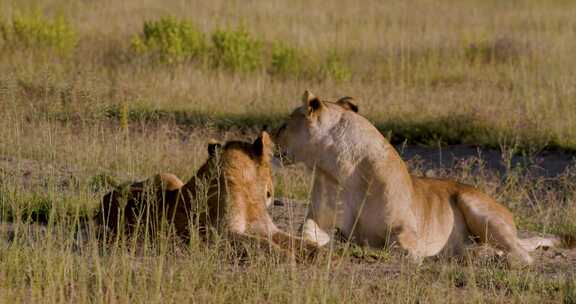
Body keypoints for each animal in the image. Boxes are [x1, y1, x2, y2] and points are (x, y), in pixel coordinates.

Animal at [97, 133, 318, 256]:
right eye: (271, 170)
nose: (273, 190)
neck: (249, 194)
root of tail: (105, 199)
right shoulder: (218, 234)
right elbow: (263, 244)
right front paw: (288, 257)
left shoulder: (269, 230)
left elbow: (301, 242)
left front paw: (322, 254)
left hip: (168, 177)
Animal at [276, 90, 564, 264]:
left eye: (284, 124)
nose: (269, 136)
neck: (340, 168)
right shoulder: (320, 219)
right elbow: (306, 232)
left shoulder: (406, 231)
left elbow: (396, 247)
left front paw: (357, 246)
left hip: (476, 206)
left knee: (521, 255)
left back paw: (480, 254)